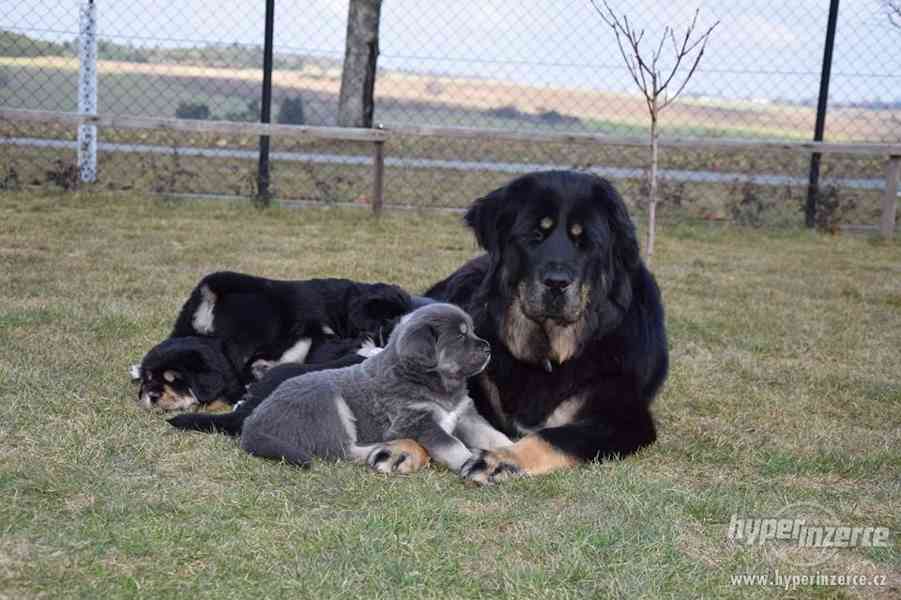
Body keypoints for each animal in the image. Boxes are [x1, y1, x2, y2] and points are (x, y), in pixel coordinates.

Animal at [239, 302, 512, 476]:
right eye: (459, 336)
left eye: (472, 330)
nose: (488, 347)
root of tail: (252, 422)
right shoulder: (416, 421)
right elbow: (450, 444)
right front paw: (470, 462)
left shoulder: (465, 414)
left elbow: (494, 436)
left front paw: (512, 453)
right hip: (328, 405)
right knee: (342, 450)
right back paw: (383, 449)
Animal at [426, 168, 664, 482]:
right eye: (535, 235)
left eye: (585, 242)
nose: (557, 282)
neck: (548, 354)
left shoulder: (625, 417)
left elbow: (553, 436)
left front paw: (502, 459)